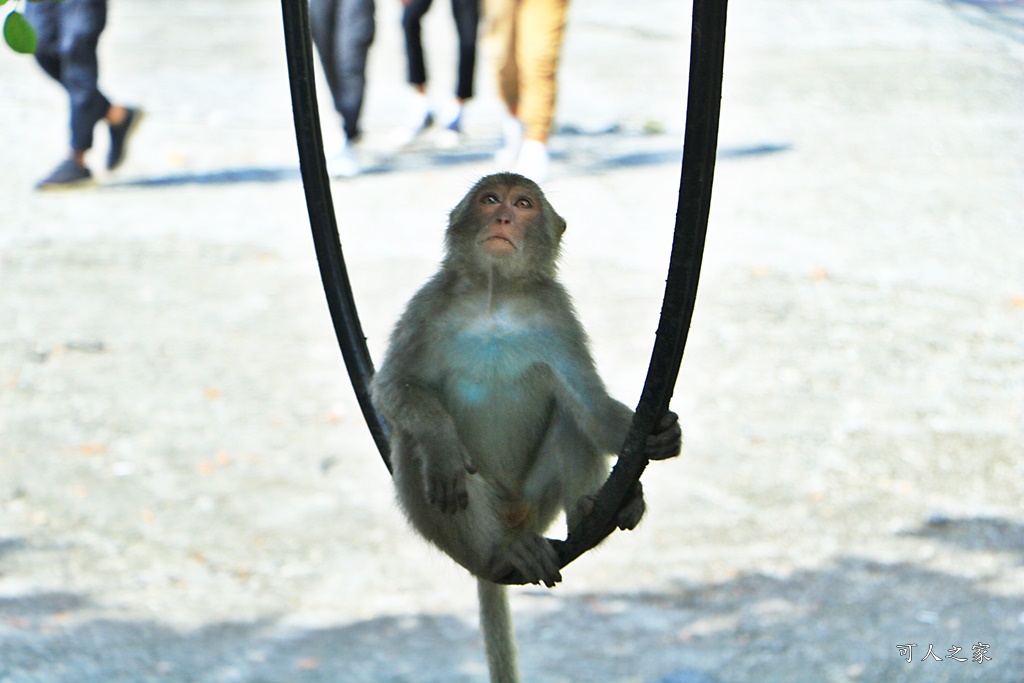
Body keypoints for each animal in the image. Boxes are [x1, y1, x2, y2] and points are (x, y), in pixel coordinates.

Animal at [370, 174, 679, 683]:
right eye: (490, 199)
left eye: (524, 204)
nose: (502, 218)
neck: (496, 296)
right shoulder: (428, 303)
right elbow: (392, 388)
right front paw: (442, 443)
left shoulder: (558, 313)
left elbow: (590, 406)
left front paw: (658, 435)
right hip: (479, 526)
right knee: (417, 445)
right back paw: (499, 553)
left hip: (535, 506)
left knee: (571, 421)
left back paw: (598, 512)